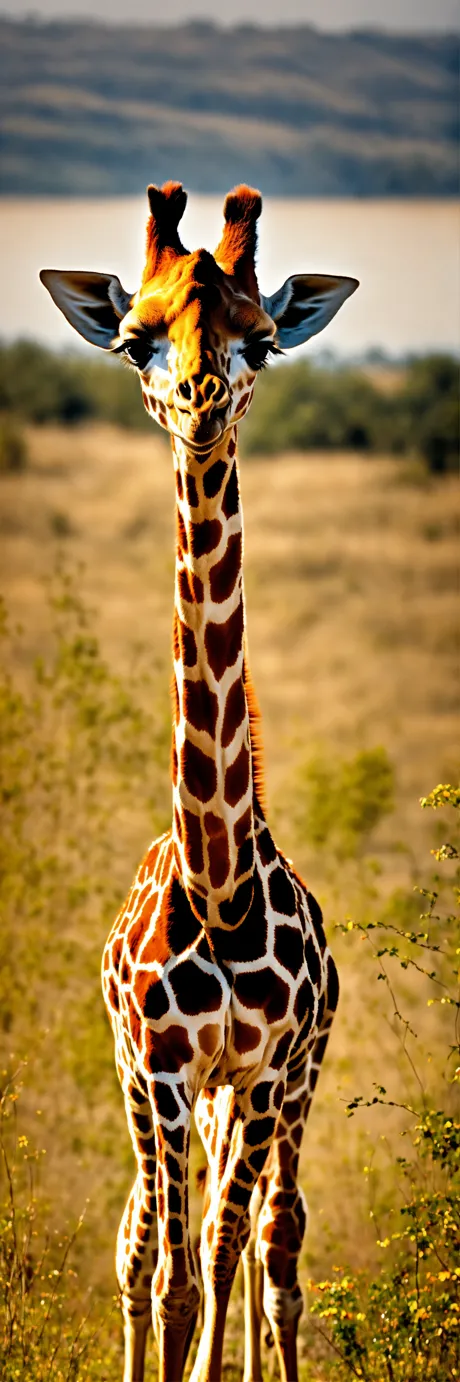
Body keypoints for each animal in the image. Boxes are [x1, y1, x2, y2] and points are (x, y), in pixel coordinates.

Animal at [40, 182, 358, 1382]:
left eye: (259, 337)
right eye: (137, 336)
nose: (200, 399)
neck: (219, 885)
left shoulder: (264, 1070)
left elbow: (231, 1256)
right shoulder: (165, 1070)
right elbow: (170, 1275)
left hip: (269, 1091)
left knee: (261, 1239)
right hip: (149, 1087)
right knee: (144, 1239)